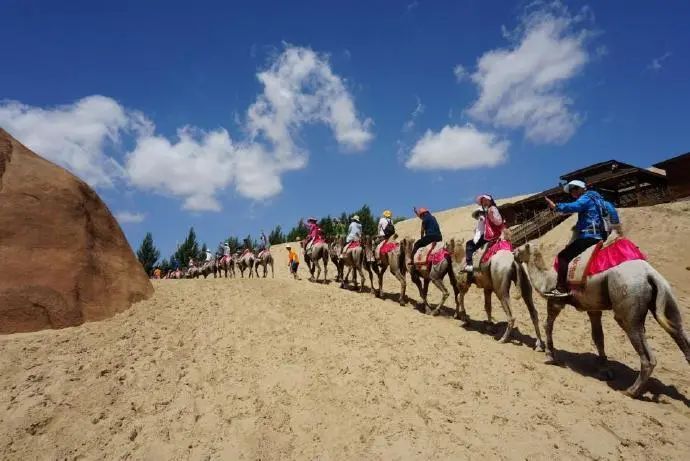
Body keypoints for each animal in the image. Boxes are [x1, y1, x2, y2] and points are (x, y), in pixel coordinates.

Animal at [516, 239, 688, 398]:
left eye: (520, 248)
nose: (514, 254)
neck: (546, 279)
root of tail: (649, 275)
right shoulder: (593, 309)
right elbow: (598, 336)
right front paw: (604, 370)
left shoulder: (555, 302)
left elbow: (548, 325)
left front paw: (549, 356)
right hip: (667, 297)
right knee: (680, 333)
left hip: (628, 307)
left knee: (647, 356)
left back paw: (631, 391)